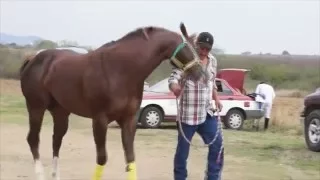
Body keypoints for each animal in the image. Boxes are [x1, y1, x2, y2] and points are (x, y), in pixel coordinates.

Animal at [18, 22, 201, 180]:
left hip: (61, 112)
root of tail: (33, 59)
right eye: (189, 48)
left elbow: (130, 158)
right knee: (33, 139)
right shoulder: (100, 120)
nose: (201, 72)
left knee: (56, 141)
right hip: (36, 108)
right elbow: (102, 158)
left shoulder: (128, 120)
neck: (120, 70)